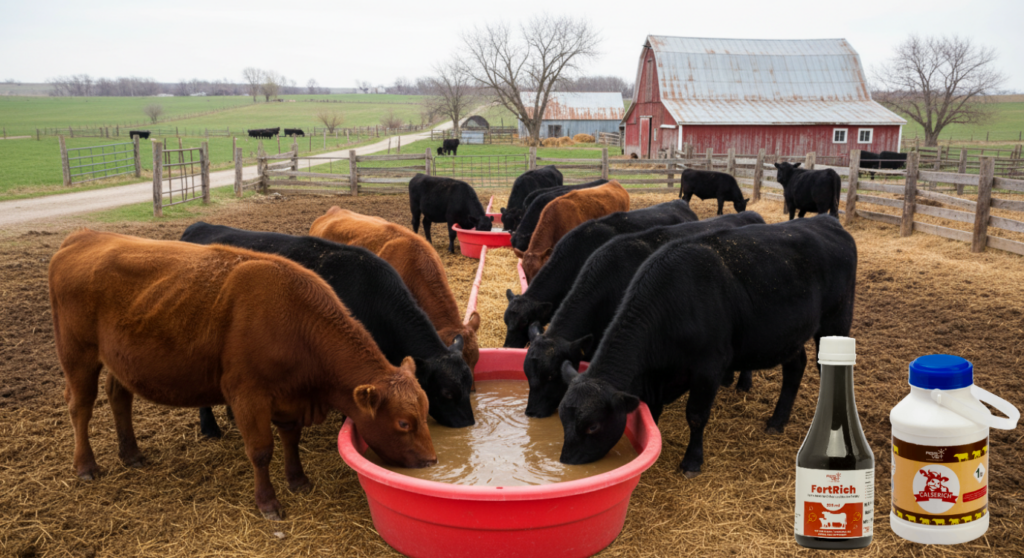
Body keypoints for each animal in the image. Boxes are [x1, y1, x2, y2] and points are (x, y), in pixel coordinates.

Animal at [48, 229, 436, 520]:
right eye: (404, 423)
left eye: (426, 410)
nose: (432, 460)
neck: (295, 321)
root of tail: (85, 235)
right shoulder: (247, 394)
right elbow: (261, 450)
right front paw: (268, 502)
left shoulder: (289, 396)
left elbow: (290, 438)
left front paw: (298, 480)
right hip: (78, 354)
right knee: (80, 407)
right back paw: (86, 465)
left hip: (119, 359)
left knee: (119, 398)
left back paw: (131, 454)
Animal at [557, 215, 857, 477]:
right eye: (561, 419)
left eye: (592, 426)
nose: (566, 462)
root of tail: (825, 220)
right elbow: (653, 413)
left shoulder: (709, 367)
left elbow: (696, 416)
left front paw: (692, 461)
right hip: (789, 335)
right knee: (795, 367)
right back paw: (777, 421)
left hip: (835, 323)